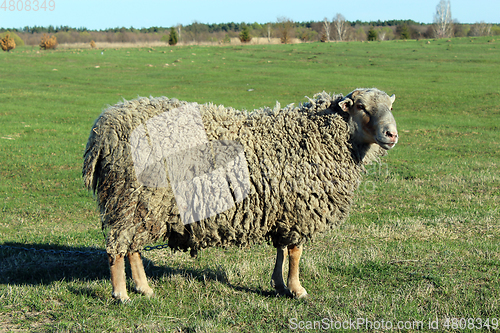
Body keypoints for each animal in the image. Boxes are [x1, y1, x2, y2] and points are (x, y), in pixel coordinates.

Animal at [84, 88, 400, 300]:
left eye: (390, 106)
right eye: (361, 106)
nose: (392, 134)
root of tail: (105, 129)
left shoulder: (281, 209)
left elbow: (281, 250)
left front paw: (279, 284)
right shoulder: (298, 211)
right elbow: (295, 252)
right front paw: (297, 289)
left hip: (139, 203)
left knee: (133, 246)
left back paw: (143, 288)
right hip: (131, 197)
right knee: (117, 248)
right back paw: (122, 294)